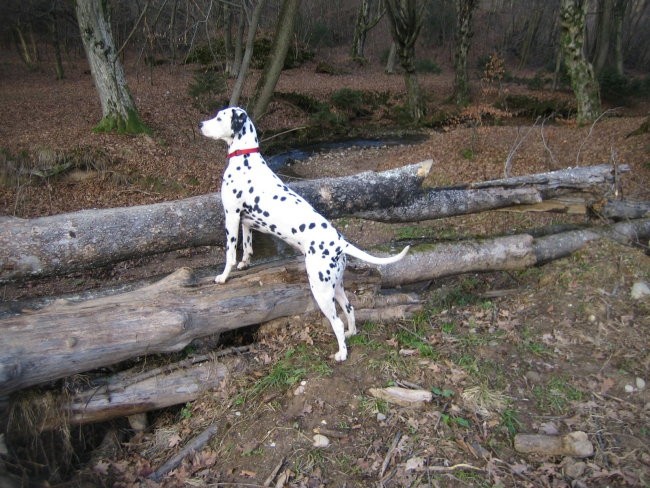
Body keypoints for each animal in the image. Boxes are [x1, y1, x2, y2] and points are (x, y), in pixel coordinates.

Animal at [200, 107, 408, 362]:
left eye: (219, 117)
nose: (200, 125)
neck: (245, 158)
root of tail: (339, 242)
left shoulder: (231, 215)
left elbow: (230, 252)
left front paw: (223, 276)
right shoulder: (245, 221)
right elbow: (247, 245)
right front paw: (245, 263)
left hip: (320, 290)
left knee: (337, 322)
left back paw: (341, 353)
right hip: (335, 286)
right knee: (349, 309)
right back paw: (351, 333)